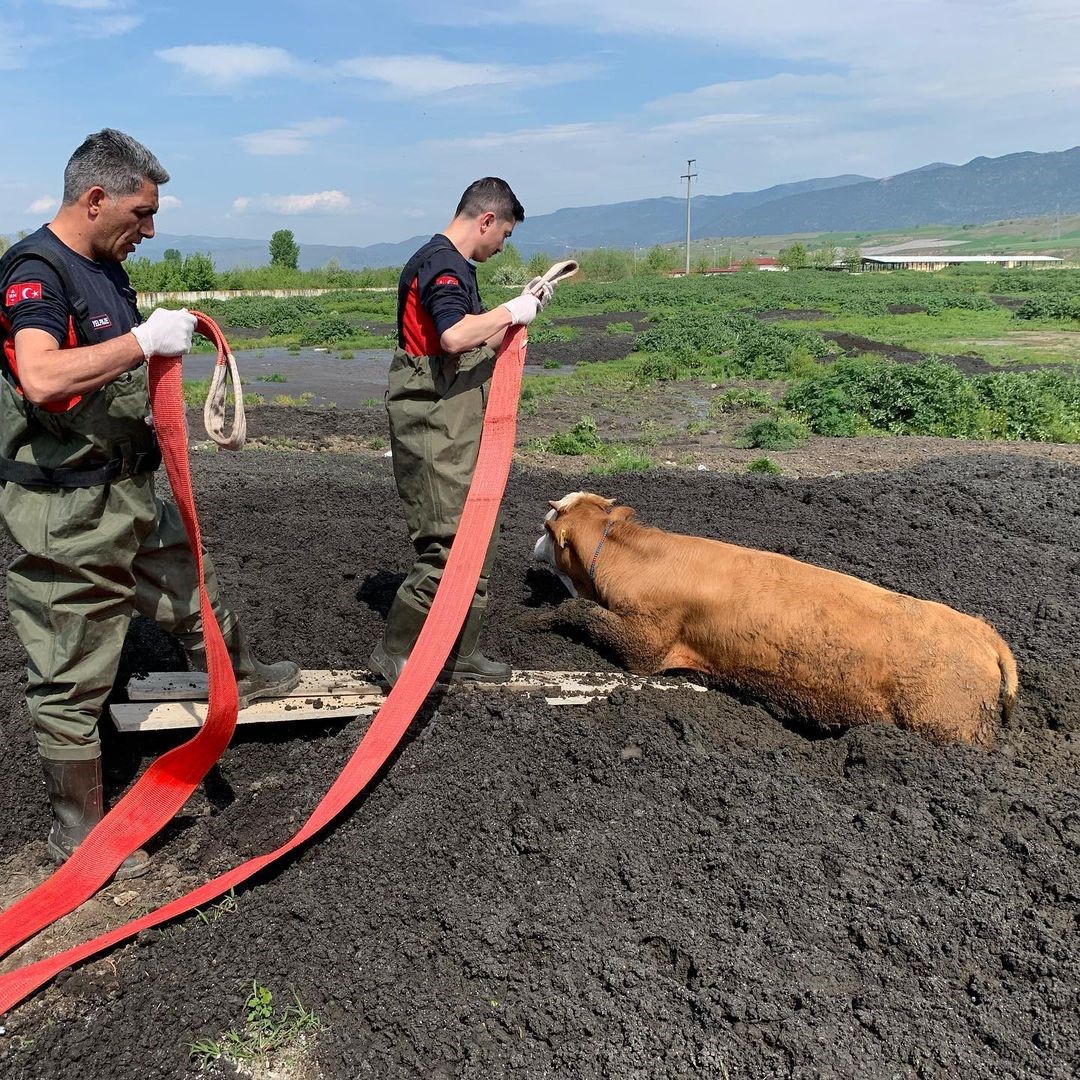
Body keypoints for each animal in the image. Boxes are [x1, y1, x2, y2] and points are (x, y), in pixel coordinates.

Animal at [531, 492, 1019, 751]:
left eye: (547, 525)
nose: (532, 545)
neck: (635, 558)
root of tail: (982, 632)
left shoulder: (644, 643)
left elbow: (585, 616)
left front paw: (542, 619)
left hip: (947, 727)